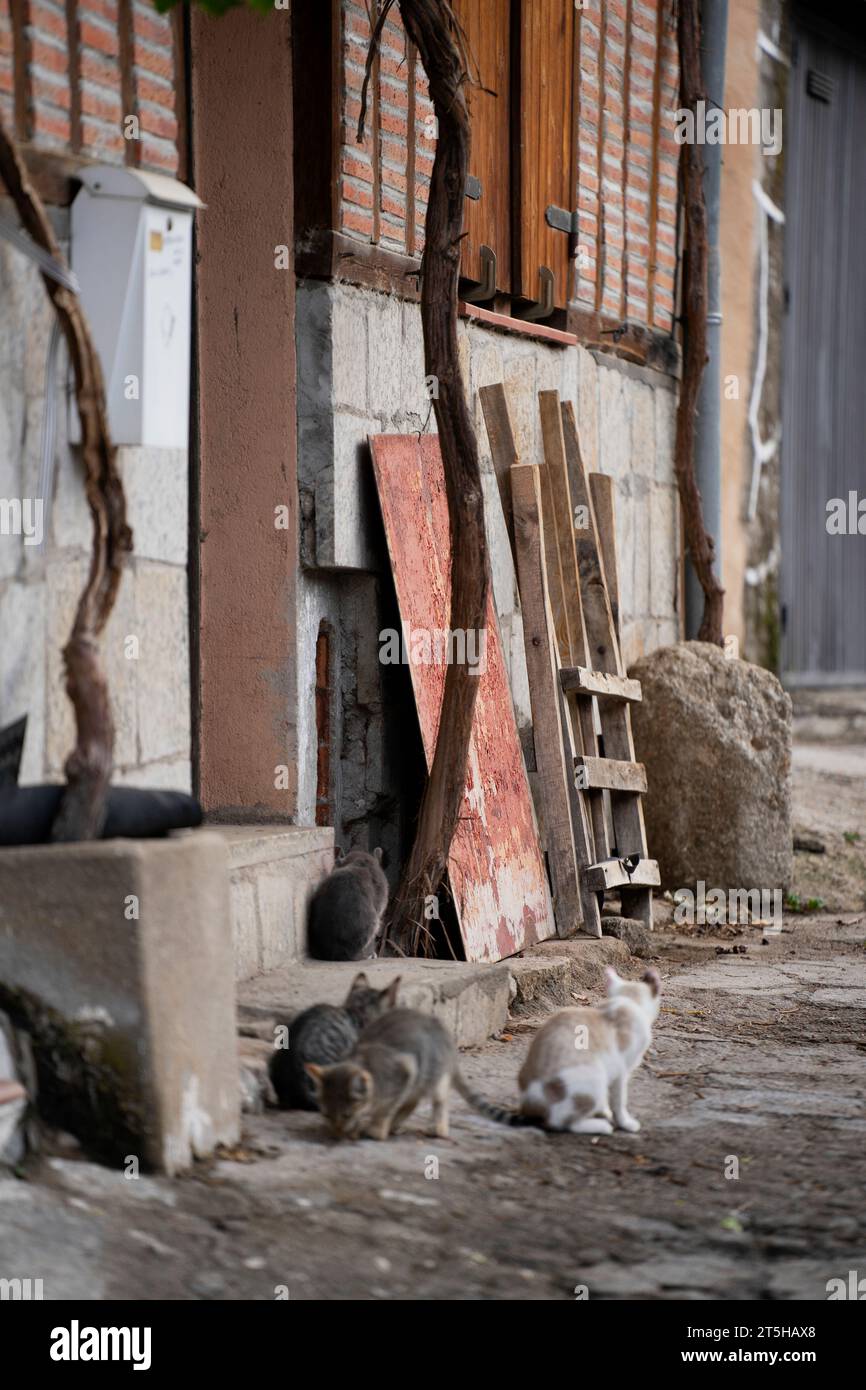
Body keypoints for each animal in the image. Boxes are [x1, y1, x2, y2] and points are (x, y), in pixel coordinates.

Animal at [514, 967, 664, 1128]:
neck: (626, 1000)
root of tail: (530, 1104)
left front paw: (603, 1111)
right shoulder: (621, 1070)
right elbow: (618, 1101)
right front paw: (625, 1123)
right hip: (594, 1077)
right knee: (560, 1121)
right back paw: (601, 1126)